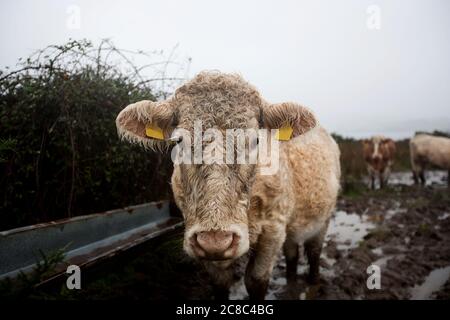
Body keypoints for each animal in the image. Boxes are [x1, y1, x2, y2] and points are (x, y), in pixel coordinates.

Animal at [116, 71, 342, 298]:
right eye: (179, 141)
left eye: (255, 141)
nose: (216, 240)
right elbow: (220, 281)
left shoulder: (274, 228)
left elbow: (256, 280)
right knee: (292, 252)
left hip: (323, 218)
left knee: (314, 251)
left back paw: (313, 283)